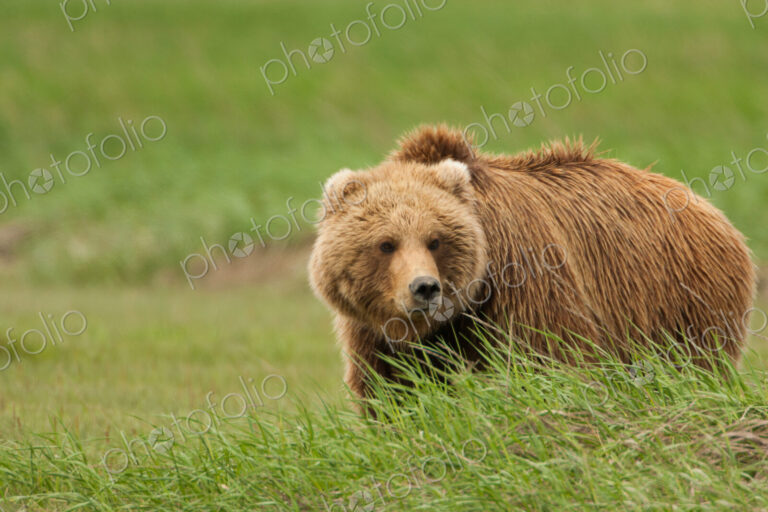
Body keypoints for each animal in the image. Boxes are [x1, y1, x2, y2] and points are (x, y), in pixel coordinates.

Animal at [308, 125, 757, 403]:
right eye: (386, 244)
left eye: (435, 240)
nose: (424, 288)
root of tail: (713, 212)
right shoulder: (374, 328)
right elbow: (393, 387)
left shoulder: (525, 273)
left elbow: (550, 357)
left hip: (680, 298)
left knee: (691, 366)